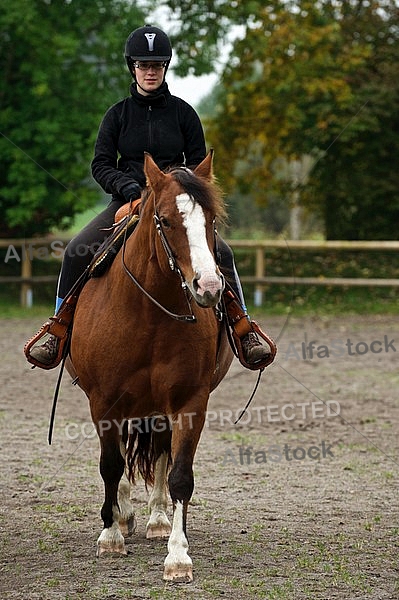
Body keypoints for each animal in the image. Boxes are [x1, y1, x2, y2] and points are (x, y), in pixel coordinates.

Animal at [67, 152, 233, 584]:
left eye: (211, 220)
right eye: (167, 220)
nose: (208, 287)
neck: (148, 312)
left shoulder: (190, 402)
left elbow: (180, 476)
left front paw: (178, 556)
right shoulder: (103, 402)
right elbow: (110, 466)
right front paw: (110, 537)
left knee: (157, 453)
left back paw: (157, 519)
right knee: (122, 458)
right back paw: (122, 516)